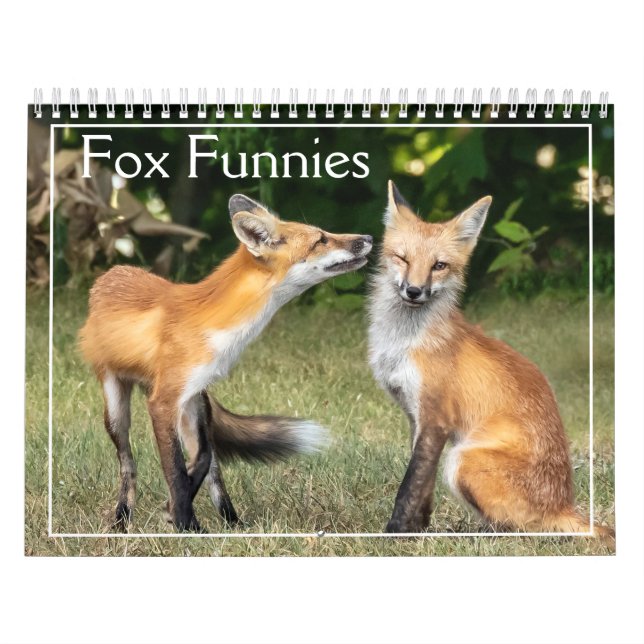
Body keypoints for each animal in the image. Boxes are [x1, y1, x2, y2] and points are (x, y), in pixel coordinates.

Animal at [79, 193, 372, 531]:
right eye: (321, 239)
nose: (369, 238)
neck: (215, 324)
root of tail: (108, 274)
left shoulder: (190, 395)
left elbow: (201, 461)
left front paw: (178, 514)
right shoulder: (163, 402)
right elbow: (176, 473)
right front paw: (183, 525)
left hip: (197, 407)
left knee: (213, 466)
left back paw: (232, 523)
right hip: (116, 409)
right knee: (128, 464)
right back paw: (122, 519)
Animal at [368, 180, 614, 544]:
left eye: (439, 265)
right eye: (402, 258)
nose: (414, 291)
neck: (405, 342)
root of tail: (563, 505)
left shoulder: (436, 418)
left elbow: (409, 487)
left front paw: (394, 535)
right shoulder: (416, 416)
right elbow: (423, 488)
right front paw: (419, 531)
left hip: (462, 460)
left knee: (518, 530)